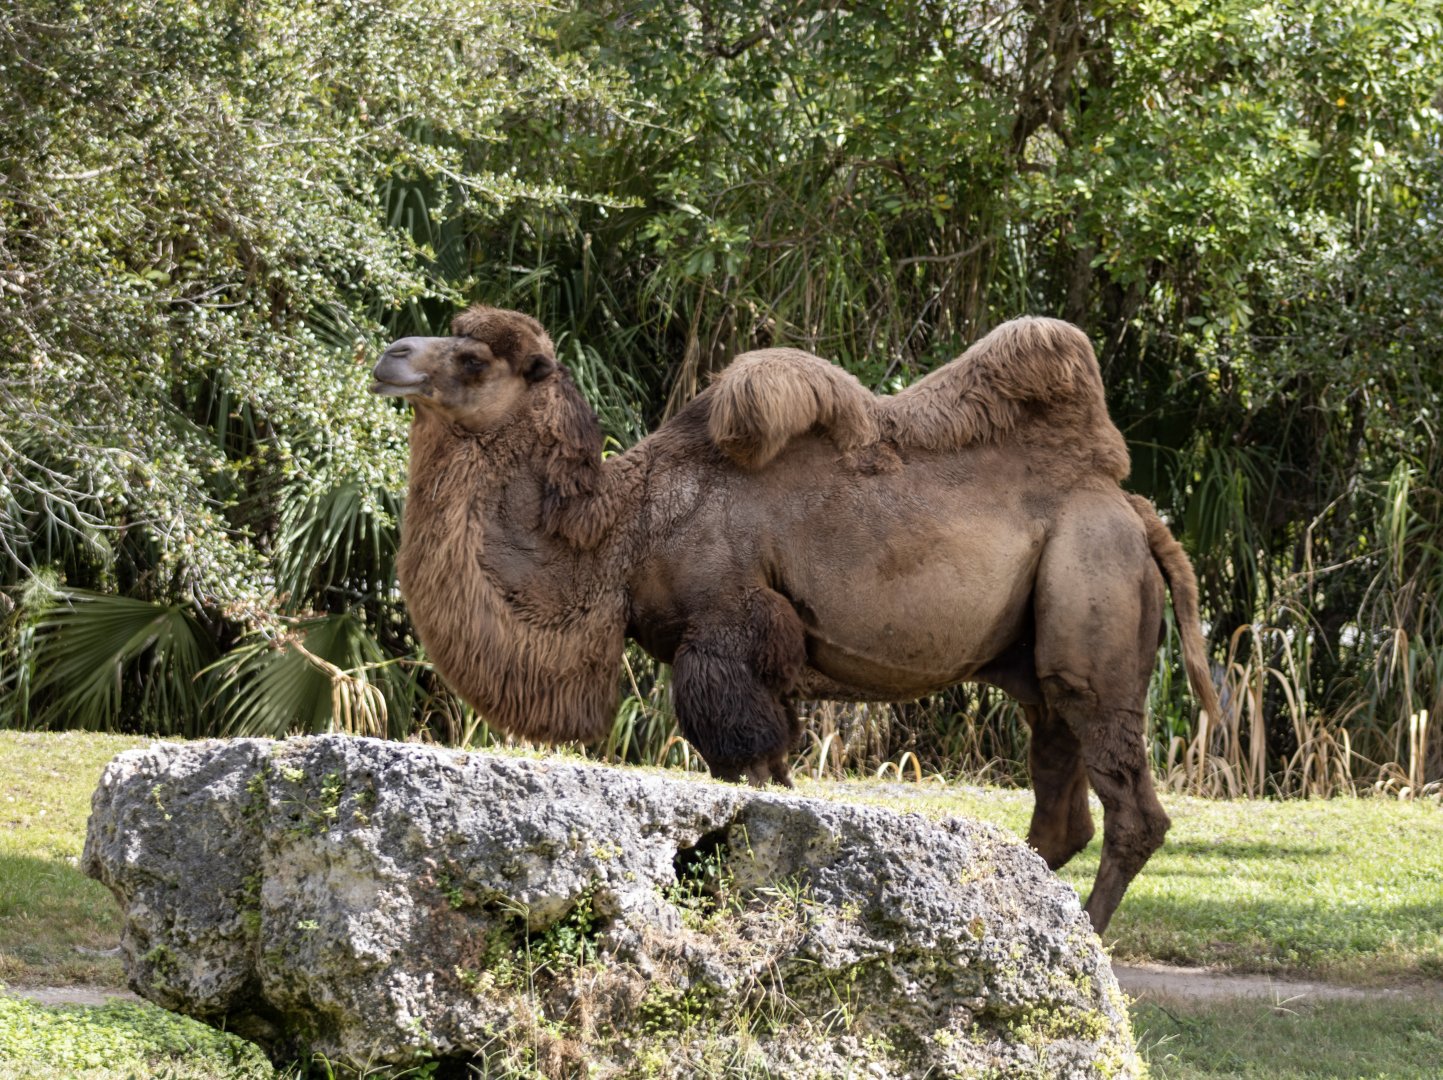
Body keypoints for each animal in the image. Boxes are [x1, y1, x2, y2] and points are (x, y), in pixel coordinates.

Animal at [371, 305, 1221, 933]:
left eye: (473, 361)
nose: (390, 354)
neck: (622, 531)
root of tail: (1135, 511)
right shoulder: (762, 663)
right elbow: (769, 783)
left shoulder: (723, 635)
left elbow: (748, 774)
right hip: (1040, 652)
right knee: (1059, 800)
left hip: (1093, 592)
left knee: (1130, 807)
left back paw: (1088, 940)